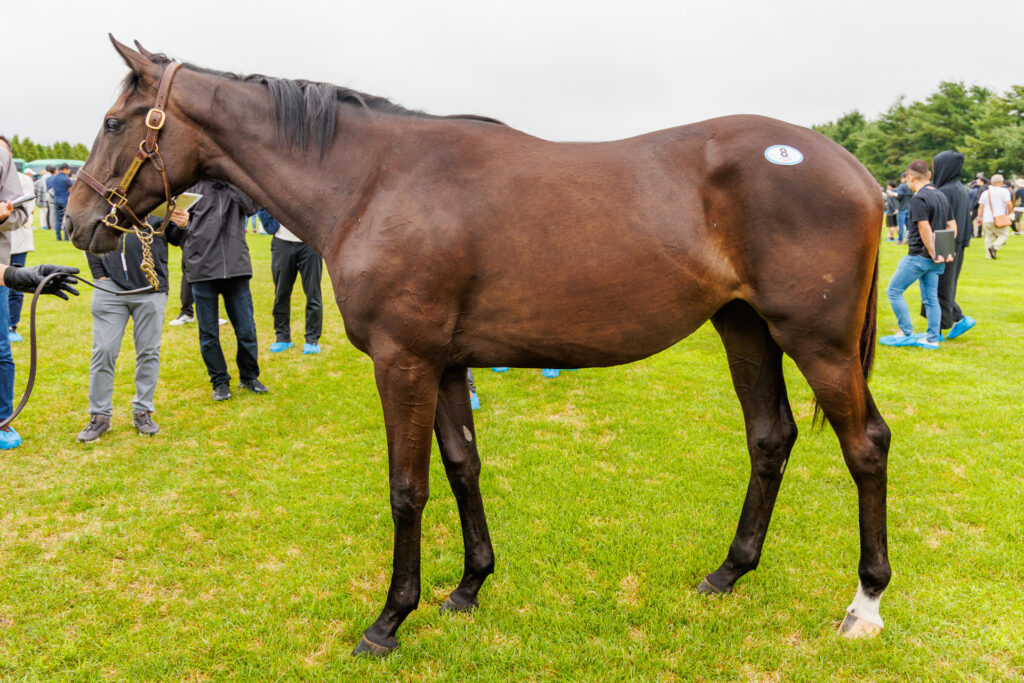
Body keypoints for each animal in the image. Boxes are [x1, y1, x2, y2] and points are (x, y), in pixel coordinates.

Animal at [67, 36, 891, 656]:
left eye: (113, 121)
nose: (77, 222)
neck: (374, 182)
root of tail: (852, 167)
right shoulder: (445, 363)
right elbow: (463, 465)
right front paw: (468, 585)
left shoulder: (403, 360)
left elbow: (407, 487)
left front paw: (389, 620)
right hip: (745, 328)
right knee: (770, 436)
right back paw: (729, 571)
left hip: (817, 342)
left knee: (866, 445)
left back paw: (865, 602)